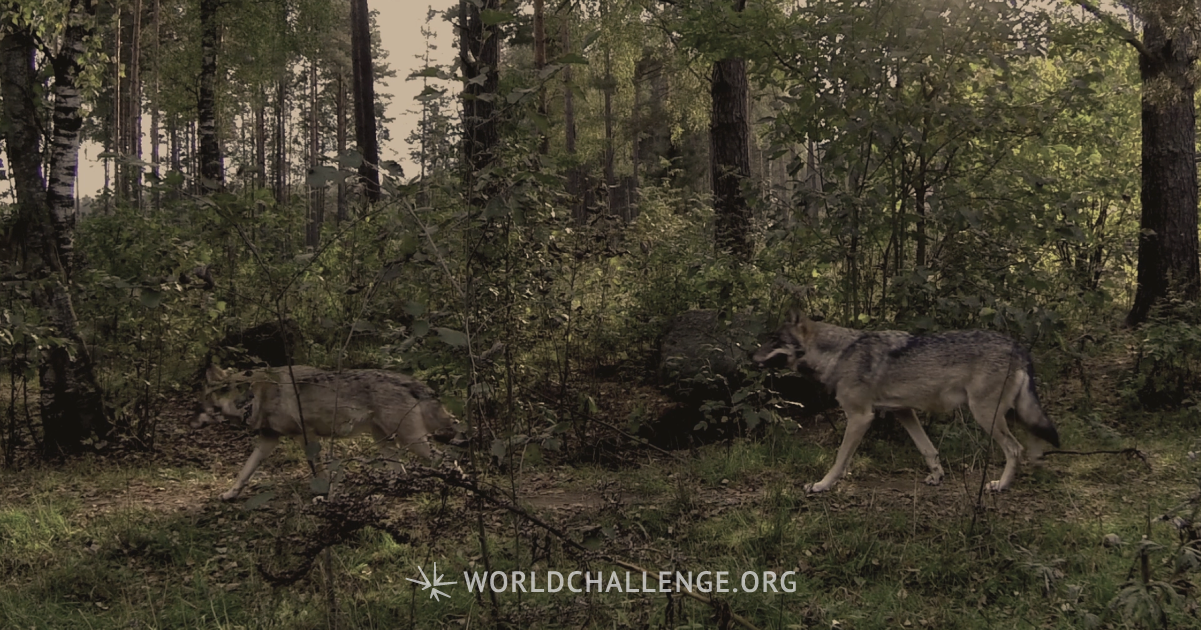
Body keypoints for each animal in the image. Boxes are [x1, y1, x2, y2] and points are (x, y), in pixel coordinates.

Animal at [194, 365, 464, 501]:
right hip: (385, 442)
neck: (256, 397)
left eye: (204, 404)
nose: (193, 423)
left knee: (447, 459)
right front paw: (230, 493)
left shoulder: (307, 437)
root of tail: (411, 381)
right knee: (401, 471)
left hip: (413, 443)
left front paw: (323, 495)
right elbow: (245, 471)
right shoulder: (267, 440)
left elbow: (319, 471)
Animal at [752, 311, 1060, 493]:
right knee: (1033, 441)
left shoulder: (860, 417)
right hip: (1011, 413)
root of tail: (1017, 346)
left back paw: (1001, 484)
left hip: (986, 415)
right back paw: (1037, 466)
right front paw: (937, 476)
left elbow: (840, 458)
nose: (749, 356)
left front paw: (822, 484)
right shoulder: (904, 412)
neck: (840, 354)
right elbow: (928, 449)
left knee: (1015, 449)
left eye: (774, 340)